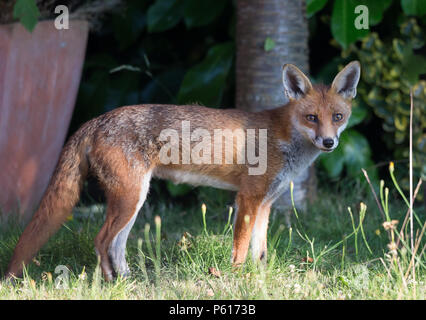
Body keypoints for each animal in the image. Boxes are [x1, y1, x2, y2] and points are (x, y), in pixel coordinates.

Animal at [5, 60, 360, 280]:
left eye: (338, 117)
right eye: (312, 118)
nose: (329, 142)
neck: (285, 141)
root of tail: (96, 119)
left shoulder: (266, 203)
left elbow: (259, 252)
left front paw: (259, 279)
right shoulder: (247, 199)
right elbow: (240, 249)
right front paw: (236, 279)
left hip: (133, 200)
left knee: (116, 244)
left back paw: (128, 281)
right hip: (130, 198)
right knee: (101, 240)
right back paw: (109, 284)